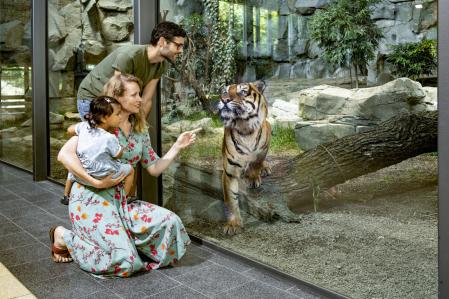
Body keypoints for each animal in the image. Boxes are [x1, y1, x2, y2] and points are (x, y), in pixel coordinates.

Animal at [216, 81, 272, 236]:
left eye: (242, 91)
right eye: (224, 91)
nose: (224, 99)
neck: (244, 127)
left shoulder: (262, 150)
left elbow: (256, 162)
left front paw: (253, 177)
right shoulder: (229, 173)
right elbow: (231, 199)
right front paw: (233, 224)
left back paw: (265, 168)